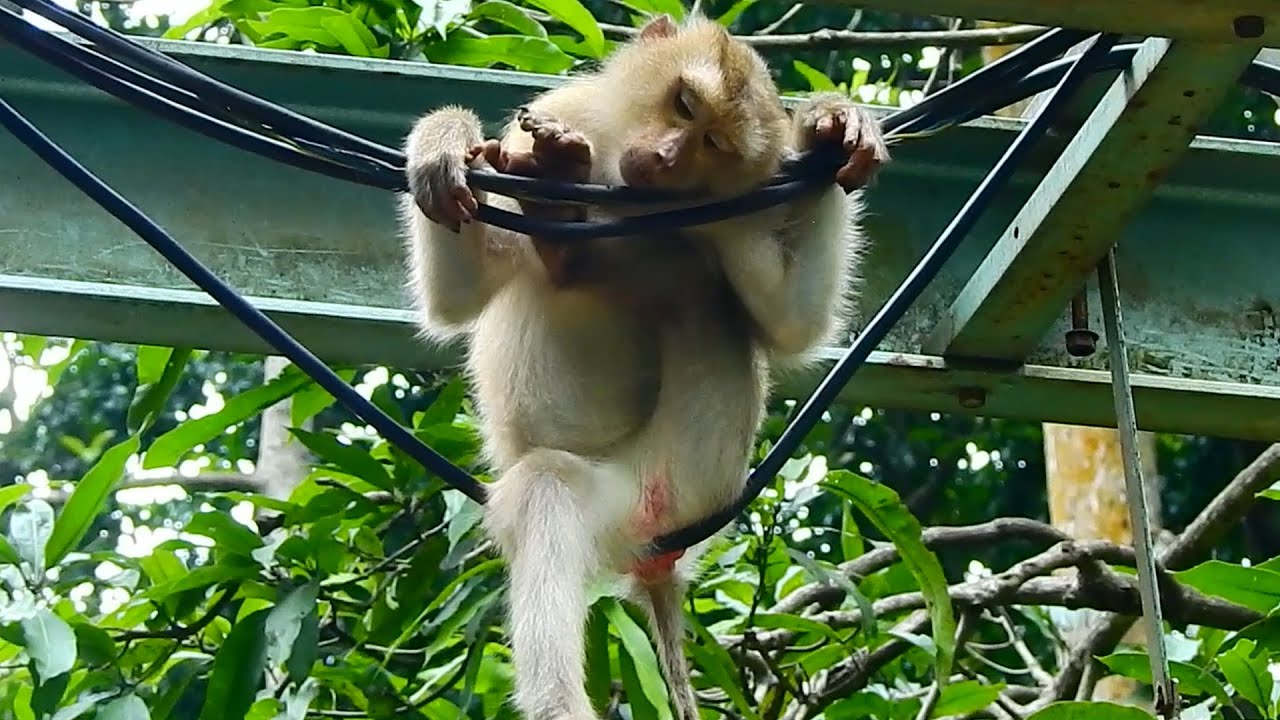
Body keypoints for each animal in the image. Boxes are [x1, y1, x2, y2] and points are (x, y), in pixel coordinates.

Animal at [398, 12, 889, 720]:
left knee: (554, 480)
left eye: (713, 144)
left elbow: (794, 325)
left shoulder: (735, 210)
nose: (664, 159)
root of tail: (663, 568)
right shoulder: (554, 118)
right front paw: (446, 140)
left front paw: (831, 125)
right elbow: (455, 297)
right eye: (683, 103)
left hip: (665, 492)